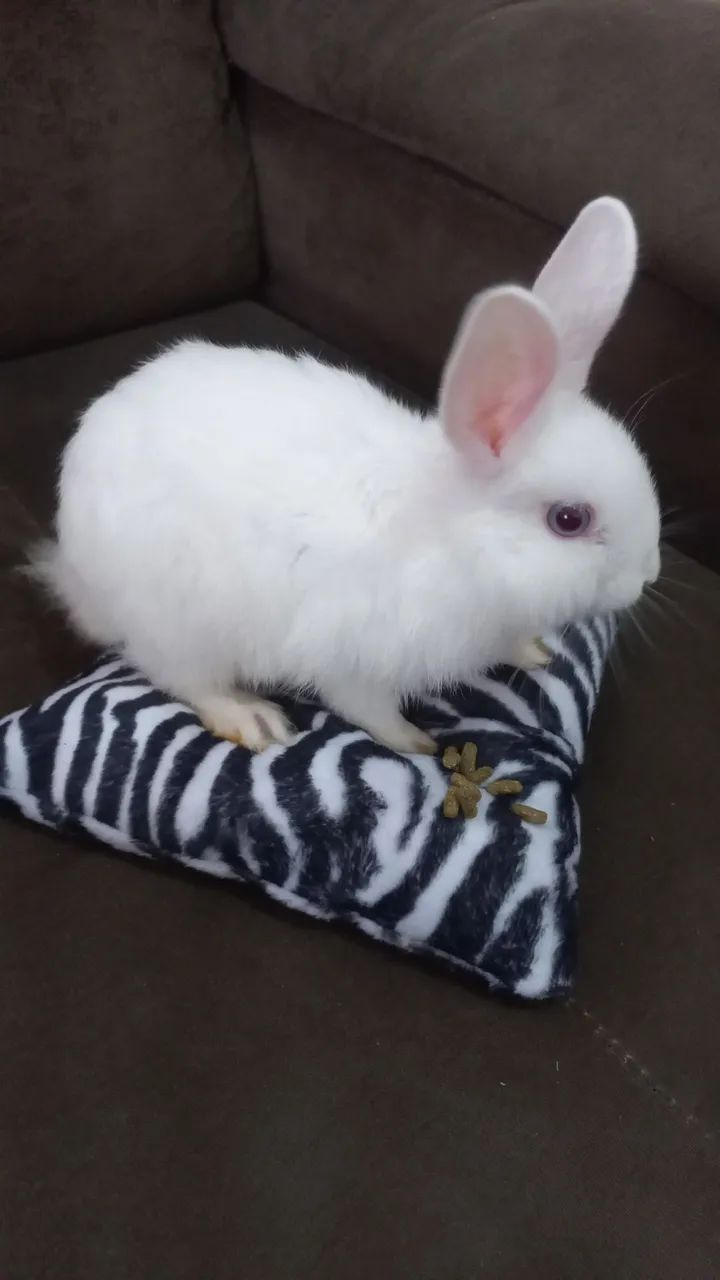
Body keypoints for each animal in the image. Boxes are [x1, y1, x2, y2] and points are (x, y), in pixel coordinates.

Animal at [38, 196, 660, 755]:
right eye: (569, 519)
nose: (646, 576)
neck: (452, 544)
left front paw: (531, 650)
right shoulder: (354, 659)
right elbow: (367, 710)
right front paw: (415, 744)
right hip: (181, 625)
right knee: (183, 678)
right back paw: (251, 719)